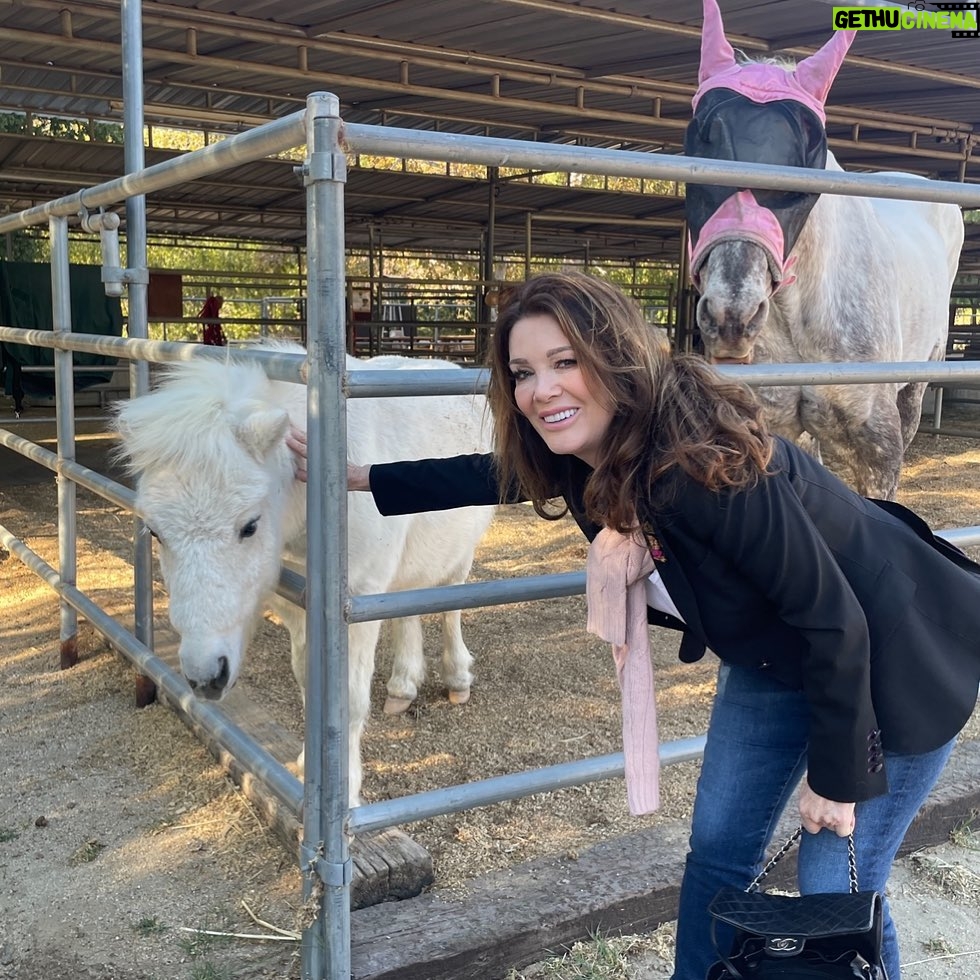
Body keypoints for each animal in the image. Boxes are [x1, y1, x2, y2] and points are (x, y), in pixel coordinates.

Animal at [112, 344, 494, 804]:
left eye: (250, 526)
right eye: (155, 532)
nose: (206, 676)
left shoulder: (355, 605)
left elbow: (349, 698)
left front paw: (346, 789)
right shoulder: (298, 605)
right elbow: (308, 684)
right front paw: (309, 767)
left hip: (459, 556)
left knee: (451, 606)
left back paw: (457, 677)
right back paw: (403, 686)